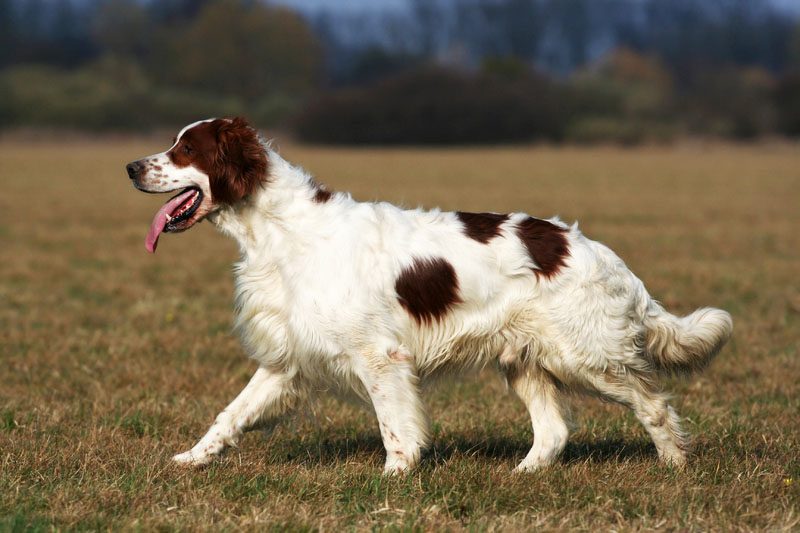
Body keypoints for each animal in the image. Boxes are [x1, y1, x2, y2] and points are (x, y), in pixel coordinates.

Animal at [125, 117, 732, 474]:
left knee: (653, 405)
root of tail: (599, 253)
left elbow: (396, 428)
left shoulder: (379, 357)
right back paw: (523, 474)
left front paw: (394, 479)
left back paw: (675, 466)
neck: (280, 231)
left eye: (184, 149)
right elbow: (229, 415)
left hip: (587, 356)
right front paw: (191, 459)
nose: (130, 166)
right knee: (554, 432)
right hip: (526, 360)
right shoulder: (288, 358)